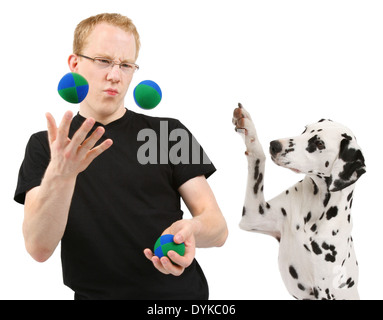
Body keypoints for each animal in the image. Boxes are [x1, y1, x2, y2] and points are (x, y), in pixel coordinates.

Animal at [232, 103, 368, 300]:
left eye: (319, 143)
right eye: (305, 130)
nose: (274, 145)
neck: (313, 213)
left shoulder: (324, 290)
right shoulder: (253, 214)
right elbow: (258, 159)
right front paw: (248, 126)